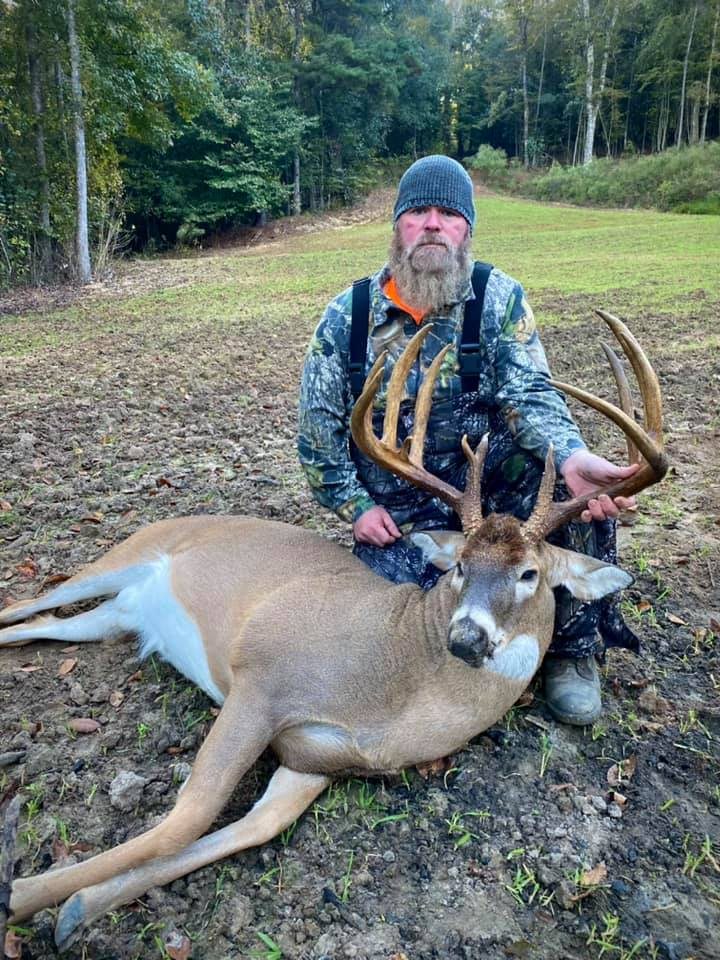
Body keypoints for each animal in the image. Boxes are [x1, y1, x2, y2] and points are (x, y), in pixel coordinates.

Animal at [0, 310, 667, 949]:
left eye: (530, 573)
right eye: (458, 566)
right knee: (26, 601)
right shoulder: (261, 680)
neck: (395, 690)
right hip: (124, 554)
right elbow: (189, 816)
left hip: (114, 616)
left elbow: (248, 828)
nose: (466, 637)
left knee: (45, 623)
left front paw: (77, 908)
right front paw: (25, 894)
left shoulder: (312, 762)